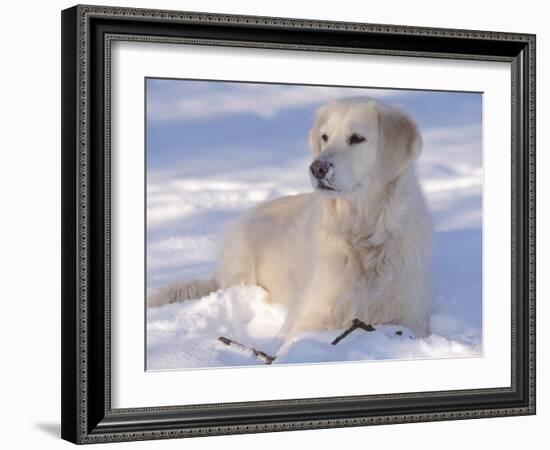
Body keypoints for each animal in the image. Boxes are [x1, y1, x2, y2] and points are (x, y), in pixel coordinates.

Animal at [149, 97, 434, 338]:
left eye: (357, 138)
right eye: (325, 137)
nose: (317, 168)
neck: (363, 231)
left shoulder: (409, 318)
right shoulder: (311, 316)